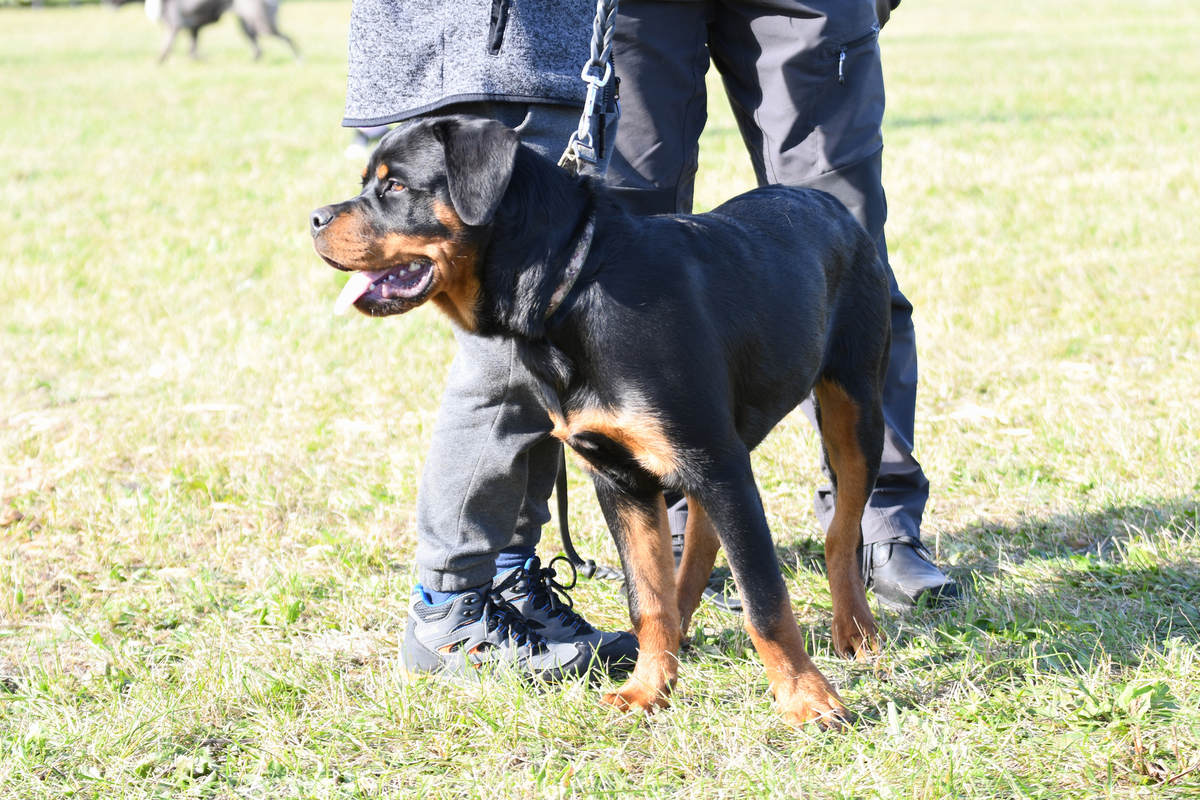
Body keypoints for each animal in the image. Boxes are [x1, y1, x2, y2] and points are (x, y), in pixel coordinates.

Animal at [309, 115, 892, 729]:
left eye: (395, 186)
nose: (315, 218)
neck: (569, 292)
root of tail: (825, 201)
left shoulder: (714, 462)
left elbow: (765, 601)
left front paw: (807, 699)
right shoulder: (621, 478)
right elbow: (647, 600)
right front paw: (648, 690)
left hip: (852, 409)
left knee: (842, 528)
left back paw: (855, 628)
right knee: (701, 544)